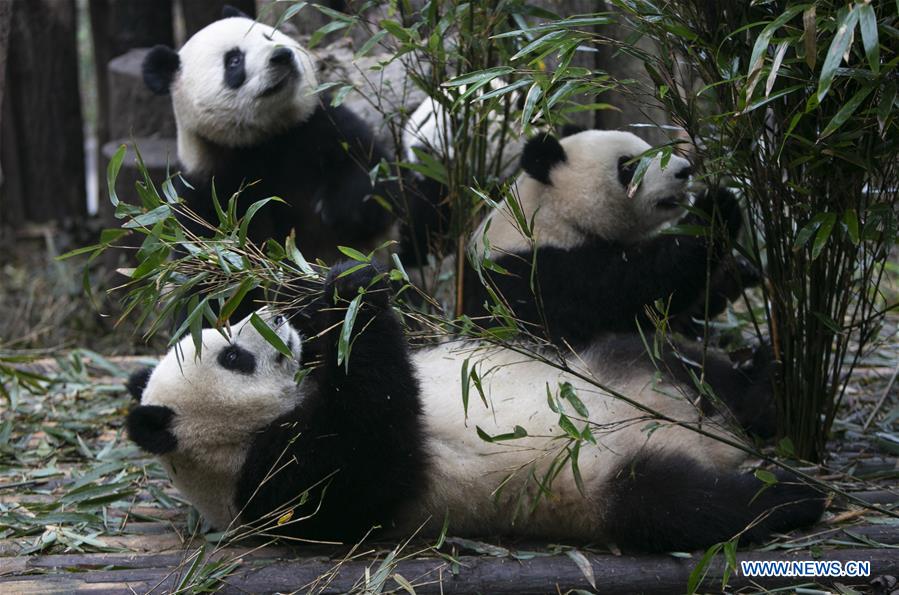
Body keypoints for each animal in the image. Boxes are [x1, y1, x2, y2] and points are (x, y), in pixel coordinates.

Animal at [126, 264, 824, 552]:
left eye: (229, 330)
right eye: (233, 358)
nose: (271, 319)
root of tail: (712, 442)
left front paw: (321, 294)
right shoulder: (278, 483)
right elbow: (370, 443)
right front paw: (355, 301)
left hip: (615, 370)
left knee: (672, 358)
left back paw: (767, 392)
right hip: (599, 480)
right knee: (685, 507)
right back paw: (794, 497)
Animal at [143, 6, 398, 264]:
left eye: (268, 36)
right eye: (234, 60)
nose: (282, 55)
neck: (263, 138)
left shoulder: (320, 125)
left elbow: (374, 170)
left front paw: (336, 209)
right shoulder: (205, 185)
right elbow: (206, 254)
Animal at [468, 128, 756, 346]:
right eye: (629, 165)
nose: (685, 169)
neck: (556, 212)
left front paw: (737, 272)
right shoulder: (537, 274)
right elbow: (634, 294)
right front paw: (715, 210)